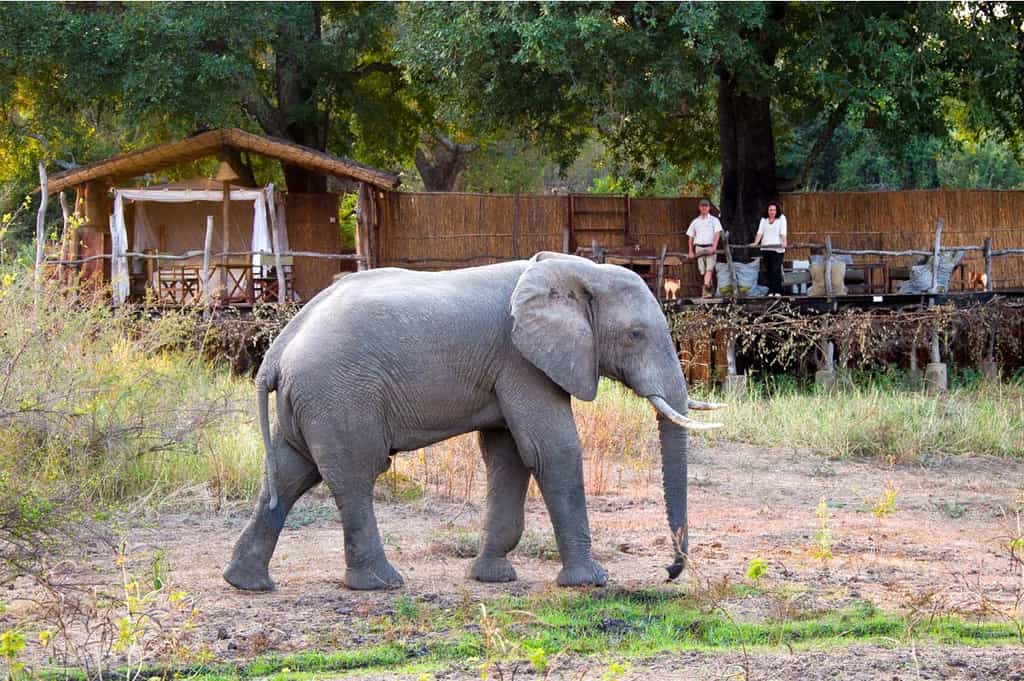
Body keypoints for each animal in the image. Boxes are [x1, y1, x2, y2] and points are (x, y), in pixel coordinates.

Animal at [223, 252, 723, 592]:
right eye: (635, 335)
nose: (669, 572)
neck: (574, 271)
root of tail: (276, 351)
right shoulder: (520, 360)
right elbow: (552, 450)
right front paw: (589, 582)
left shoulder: (510, 368)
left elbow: (509, 456)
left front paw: (492, 578)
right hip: (338, 395)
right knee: (354, 475)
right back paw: (382, 584)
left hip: (313, 400)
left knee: (289, 475)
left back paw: (246, 583)